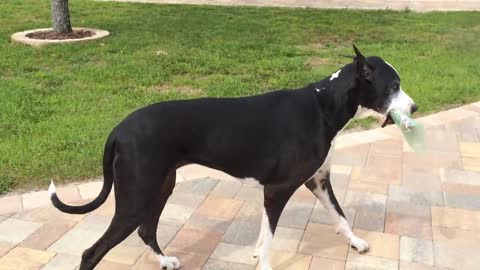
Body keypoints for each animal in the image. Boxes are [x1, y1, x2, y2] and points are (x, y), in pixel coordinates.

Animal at [47, 45, 416, 268]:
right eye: (393, 86)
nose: (414, 108)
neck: (323, 105)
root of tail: (118, 129)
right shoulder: (278, 189)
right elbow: (270, 237)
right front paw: (263, 262)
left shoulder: (318, 181)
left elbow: (338, 217)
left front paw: (356, 242)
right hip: (136, 197)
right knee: (92, 252)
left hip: (160, 187)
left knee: (146, 231)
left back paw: (165, 261)